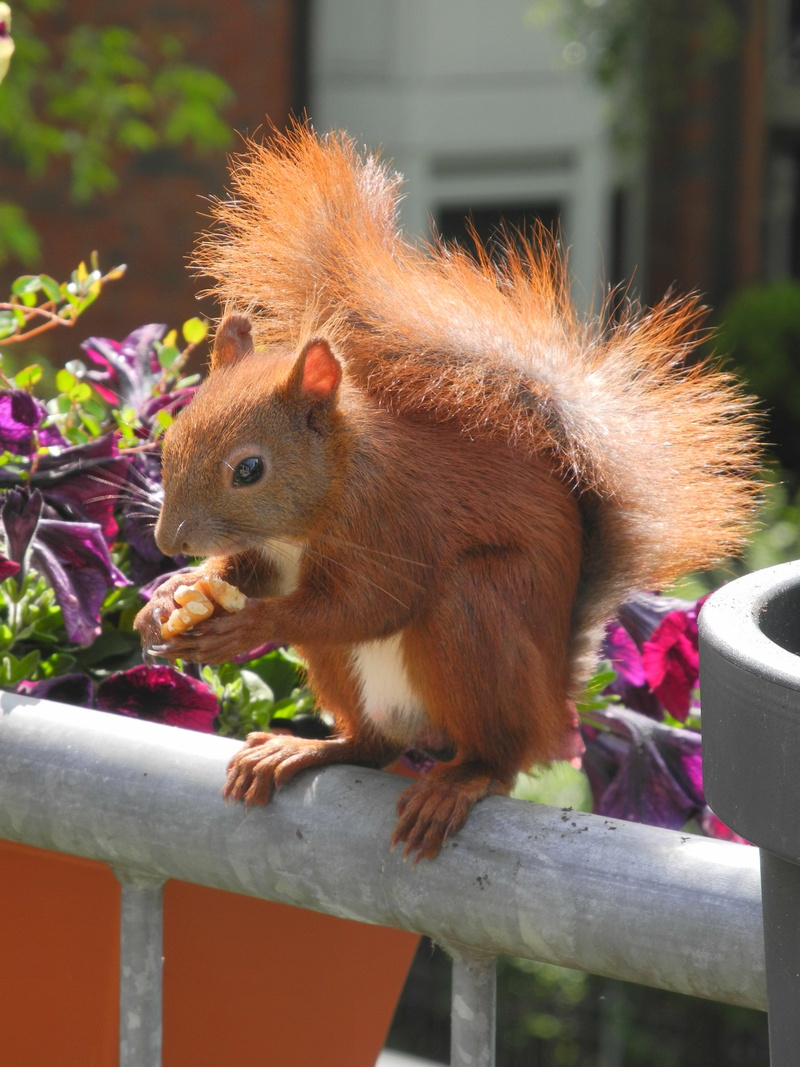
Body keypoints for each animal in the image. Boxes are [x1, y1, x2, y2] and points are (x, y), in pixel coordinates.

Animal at [134, 124, 761, 862]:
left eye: (249, 469)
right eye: (171, 437)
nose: (167, 541)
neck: (325, 494)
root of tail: (551, 702)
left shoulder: (393, 522)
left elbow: (368, 603)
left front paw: (248, 623)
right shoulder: (270, 554)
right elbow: (245, 573)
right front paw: (171, 598)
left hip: (477, 614)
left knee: (498, 754)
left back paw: (458, 782)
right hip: (348, 675)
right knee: (372, 745)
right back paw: (303, 750)